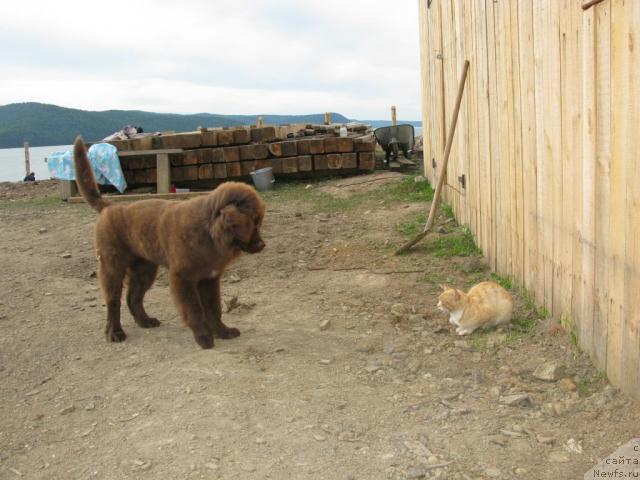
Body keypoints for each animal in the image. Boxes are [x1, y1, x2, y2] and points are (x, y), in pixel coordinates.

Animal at [72, 135, 264, 348]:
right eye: (253, 222)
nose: (262, 245)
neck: (208, 233)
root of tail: (108, 206)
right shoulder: (183, 278)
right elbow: (195, 311)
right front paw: (204, 338)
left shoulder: (209, 278)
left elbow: (214, 309)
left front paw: (223, 332)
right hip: (112, 265)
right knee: (114, 301)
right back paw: (115, 333)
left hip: (144, 269)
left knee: (133, 297)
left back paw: (145, 321)